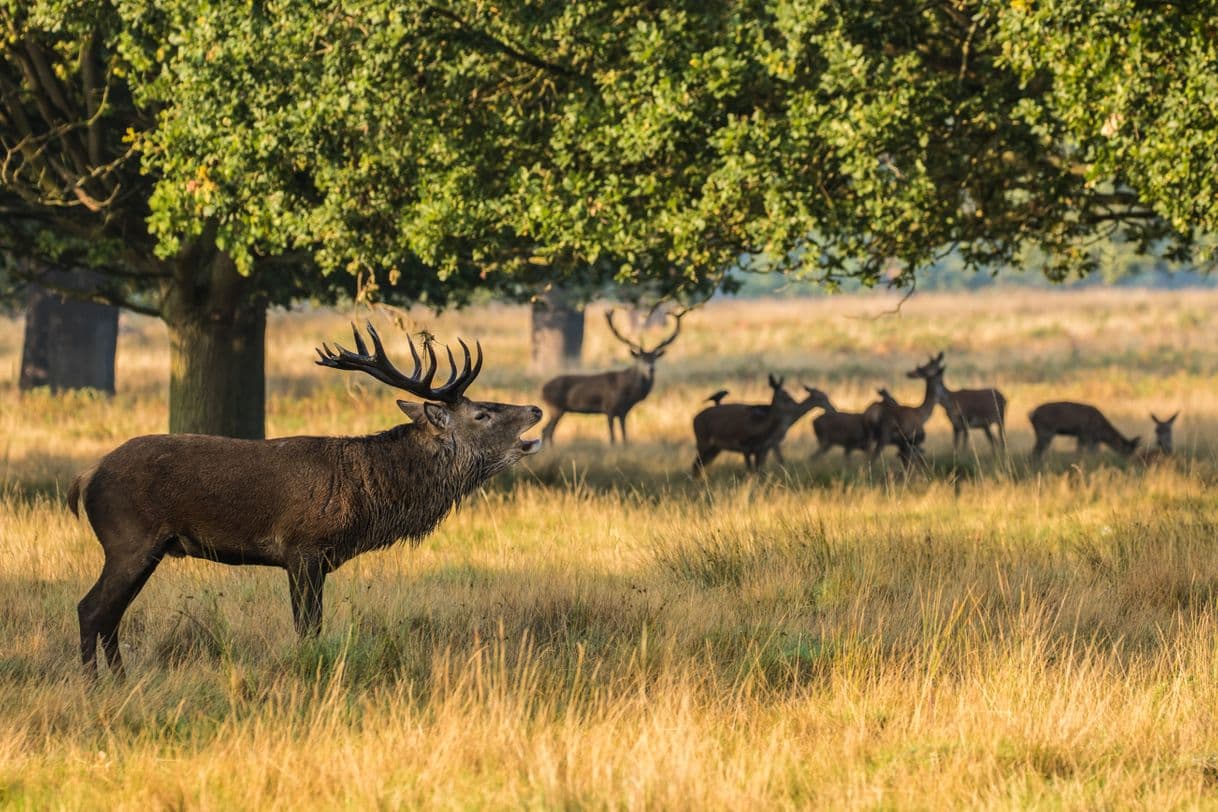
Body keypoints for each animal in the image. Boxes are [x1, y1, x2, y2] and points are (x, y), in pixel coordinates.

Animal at [67, 323, 543, 681]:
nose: (536, 410)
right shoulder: (303, 549)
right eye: (482, 413)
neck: (367, 496)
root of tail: (85, 478)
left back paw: (122, 681)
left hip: (151, 548)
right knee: (91, 609)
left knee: (112, 615)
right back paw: (94, 687)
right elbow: (308, 630)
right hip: (129, 539)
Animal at [543, 308, 686, 445]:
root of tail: (542, 390)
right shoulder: (609, 408)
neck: (629, 394)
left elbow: (624, 435)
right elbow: (612, 437)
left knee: (547, 431)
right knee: (547, 431)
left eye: (654, 358)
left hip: (557, 409)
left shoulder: (623, 412)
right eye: (641, 359)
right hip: (555, 407)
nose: (651, 369)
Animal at [691, 377, 833, 472]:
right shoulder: (748, 446)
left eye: (825, 396)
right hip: (703, 442)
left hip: (715, 448)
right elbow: (755, 469)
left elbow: (763, 467)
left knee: (700, 465)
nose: (832, 408)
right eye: (821, 397)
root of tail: (694, 419)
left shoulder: (765, 447)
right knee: (696, 465)